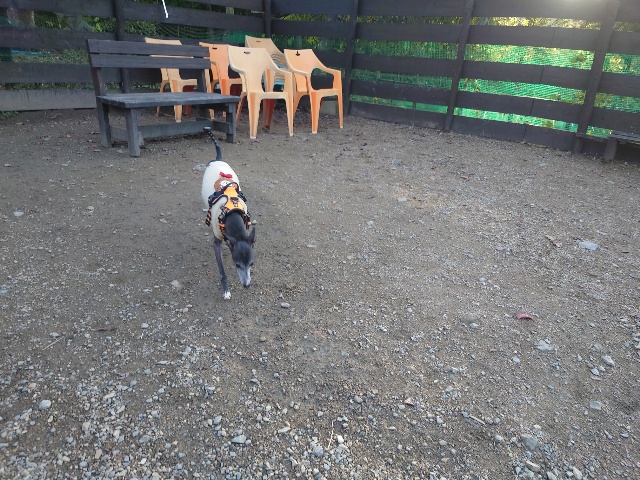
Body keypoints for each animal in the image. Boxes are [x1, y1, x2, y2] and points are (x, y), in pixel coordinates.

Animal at [201, 128, 255, 299]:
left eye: (251, 264)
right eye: (237, 264)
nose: (247, 285)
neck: (232, 214)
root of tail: (217, 160)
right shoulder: (217, 241)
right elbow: (222, 271)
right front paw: (225, 289)